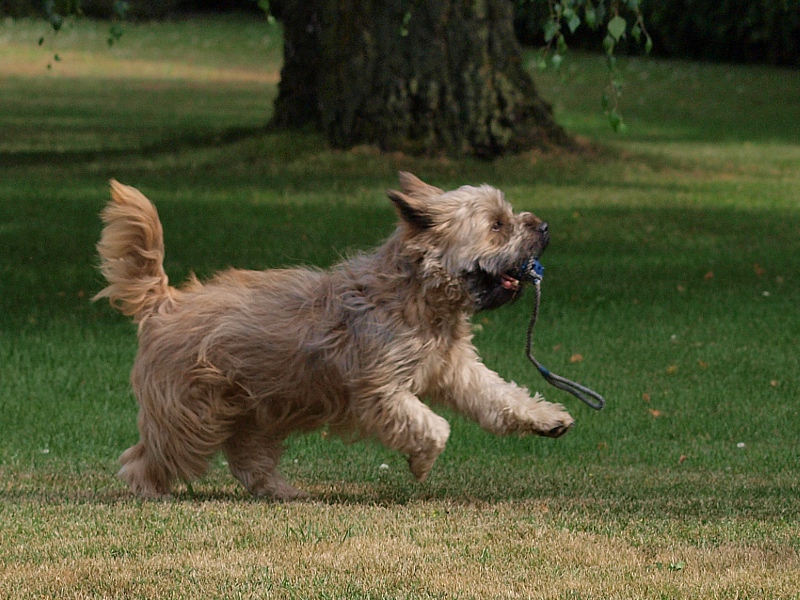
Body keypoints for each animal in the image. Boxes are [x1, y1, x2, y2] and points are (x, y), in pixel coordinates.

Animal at [95, 175, 576, 502]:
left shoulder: (454, 370)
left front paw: (547, 418)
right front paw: (421, 463)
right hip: (193, 415)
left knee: (248, 459)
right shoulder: (379, 390)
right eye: (497, 225)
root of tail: (166, 302)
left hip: (258, 410)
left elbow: (500, 397)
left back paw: (281, 491)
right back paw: (148, 489)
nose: (545, 227)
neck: (417, 295)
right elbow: (435, 427)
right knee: (148, 455)